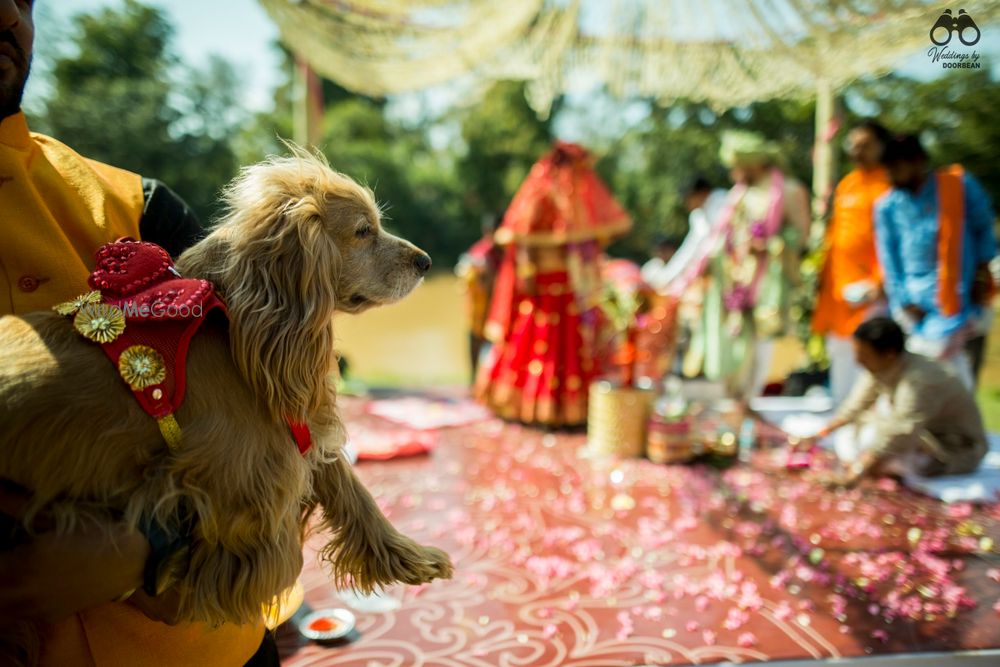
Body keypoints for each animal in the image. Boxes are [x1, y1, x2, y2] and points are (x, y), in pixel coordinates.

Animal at [0, 146, 454, 652]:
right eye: (362, 231)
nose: (426, 260)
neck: (236, 325)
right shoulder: (240, 477)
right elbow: (264, 549)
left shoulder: (289, 428)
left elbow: (347, 484)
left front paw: (409, 557)